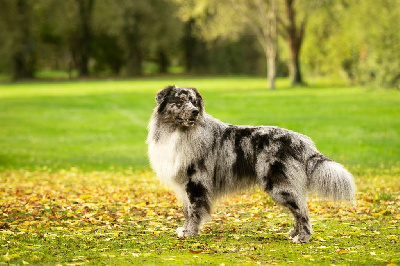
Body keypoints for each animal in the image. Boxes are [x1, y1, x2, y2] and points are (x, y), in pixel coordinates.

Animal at [148, 85, 356, 243]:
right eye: (179, 102)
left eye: (194, 102)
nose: (195, 112)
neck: (179, 132)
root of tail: (301, 141)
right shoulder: (184, 185)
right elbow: (186, 211)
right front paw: (184, 229)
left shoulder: (195, 182)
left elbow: (193, 211)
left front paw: (189, 232)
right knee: (299, 208)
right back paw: (294, 233)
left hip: (279, 185)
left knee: (302, 210)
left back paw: (302, 237)